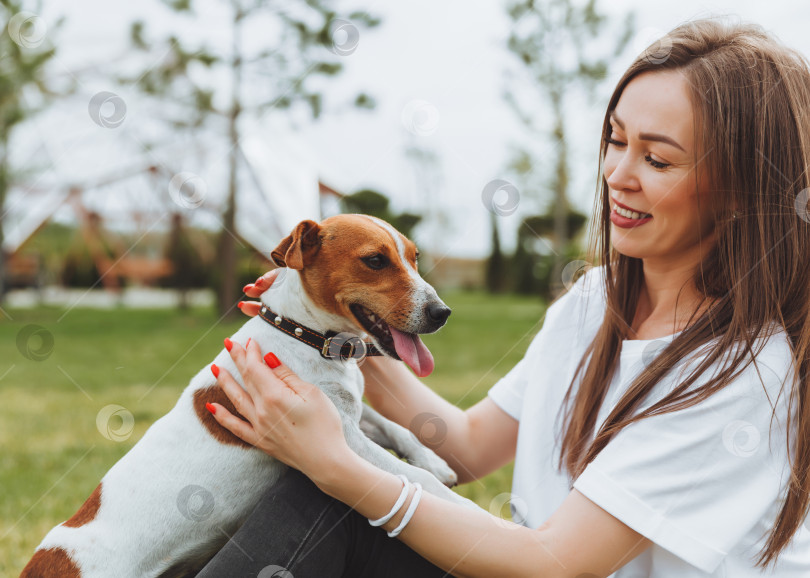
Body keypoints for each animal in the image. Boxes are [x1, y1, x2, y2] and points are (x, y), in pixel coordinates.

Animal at [20, 213, 474, 576]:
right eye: (375, 260)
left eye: (414, 257)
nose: (442, 313)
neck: (304, 334)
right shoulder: (338, 434)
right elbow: (412, 477)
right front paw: (462, 513)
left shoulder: (350, 413)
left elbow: (399, 429)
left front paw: (433, 460)